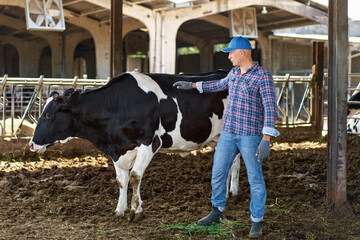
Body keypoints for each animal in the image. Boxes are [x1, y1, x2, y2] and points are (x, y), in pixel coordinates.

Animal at [28, 71, 242, 221]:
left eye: (48, 115)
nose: (31, 145)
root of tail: (224, 72)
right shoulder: (118, 149)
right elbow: (121, 180)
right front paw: (120, 210)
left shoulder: (149, 142)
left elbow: (135, 177)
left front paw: (135, 210)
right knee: (229, 162)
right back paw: (228, 193)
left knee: (234, 162)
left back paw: (231, 193)